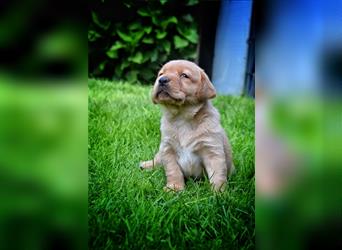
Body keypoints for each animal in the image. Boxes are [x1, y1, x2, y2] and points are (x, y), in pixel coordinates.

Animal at [140, 59, 234, 191]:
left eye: (184, 75)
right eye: (161, 74)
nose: (162, 80)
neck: (182, 117)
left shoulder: (212, 150)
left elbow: (217, 174)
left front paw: (219, 192)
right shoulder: (167, 149)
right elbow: (173, 171)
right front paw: (174, 188)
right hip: (161, 152)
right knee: (157, 159)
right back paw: (145, 165)